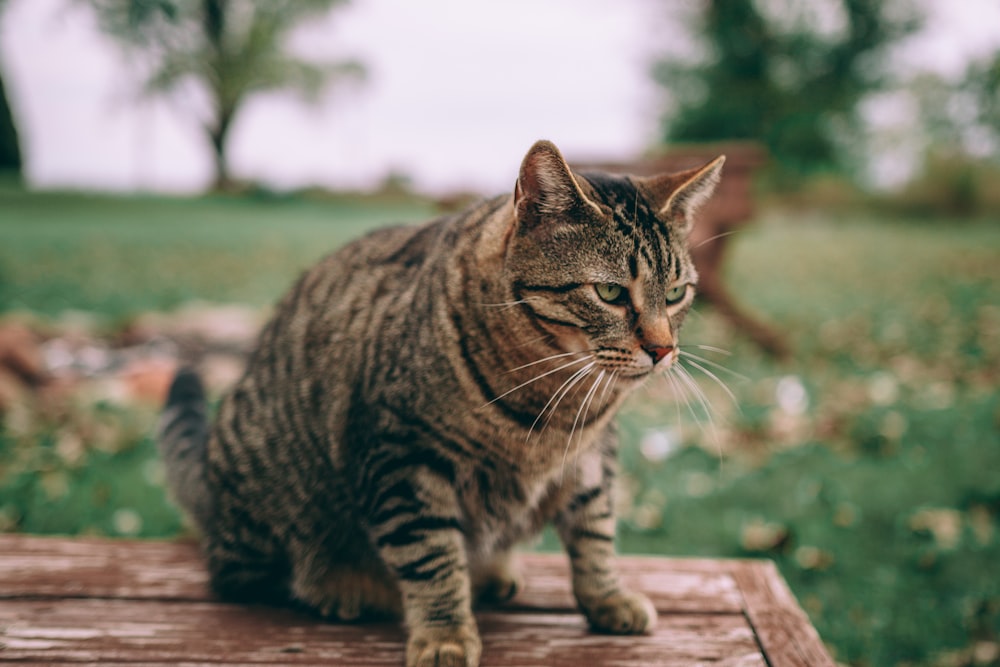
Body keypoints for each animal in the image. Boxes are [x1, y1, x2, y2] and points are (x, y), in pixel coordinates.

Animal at [162, 141, 728, 667]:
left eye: (675, 293)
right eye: (610, 293)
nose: (663, 350)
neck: (551, 401)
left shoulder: (591, 457)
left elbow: (595, 532)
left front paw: (608, 599)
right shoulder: (402, 457)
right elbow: (431, 556)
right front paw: (445, 634)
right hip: (268, 509)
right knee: (245, 576)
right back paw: (341, 589)